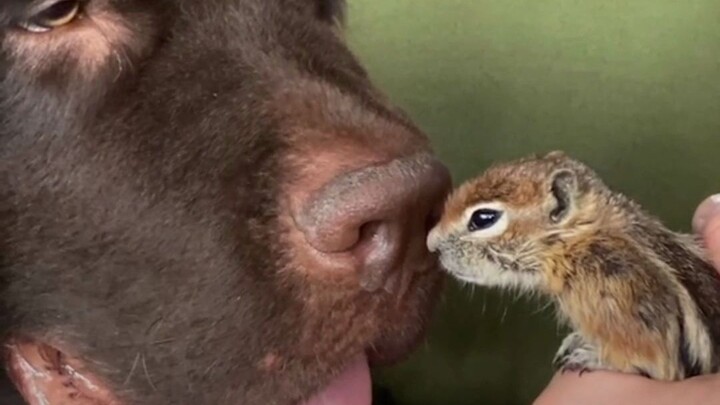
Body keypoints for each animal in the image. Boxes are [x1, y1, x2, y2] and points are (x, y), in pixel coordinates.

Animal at [427, 150, 720, 381]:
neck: (581, 238)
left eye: (483, 218)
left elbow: (653, 363)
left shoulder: (626, 302)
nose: (431, 243)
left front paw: (592, 357)